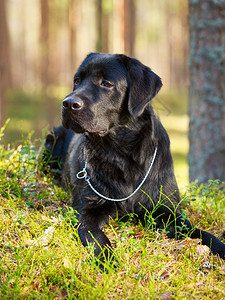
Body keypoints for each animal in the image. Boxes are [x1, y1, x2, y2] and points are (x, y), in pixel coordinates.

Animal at [43, 52, 225, 264]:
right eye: (77, 81)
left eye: (107, 83)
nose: (68, 103)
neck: (120, 154)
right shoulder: (85, 209)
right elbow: (99, 239)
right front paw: (108, 261)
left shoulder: (168, 211)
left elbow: (202, 233)